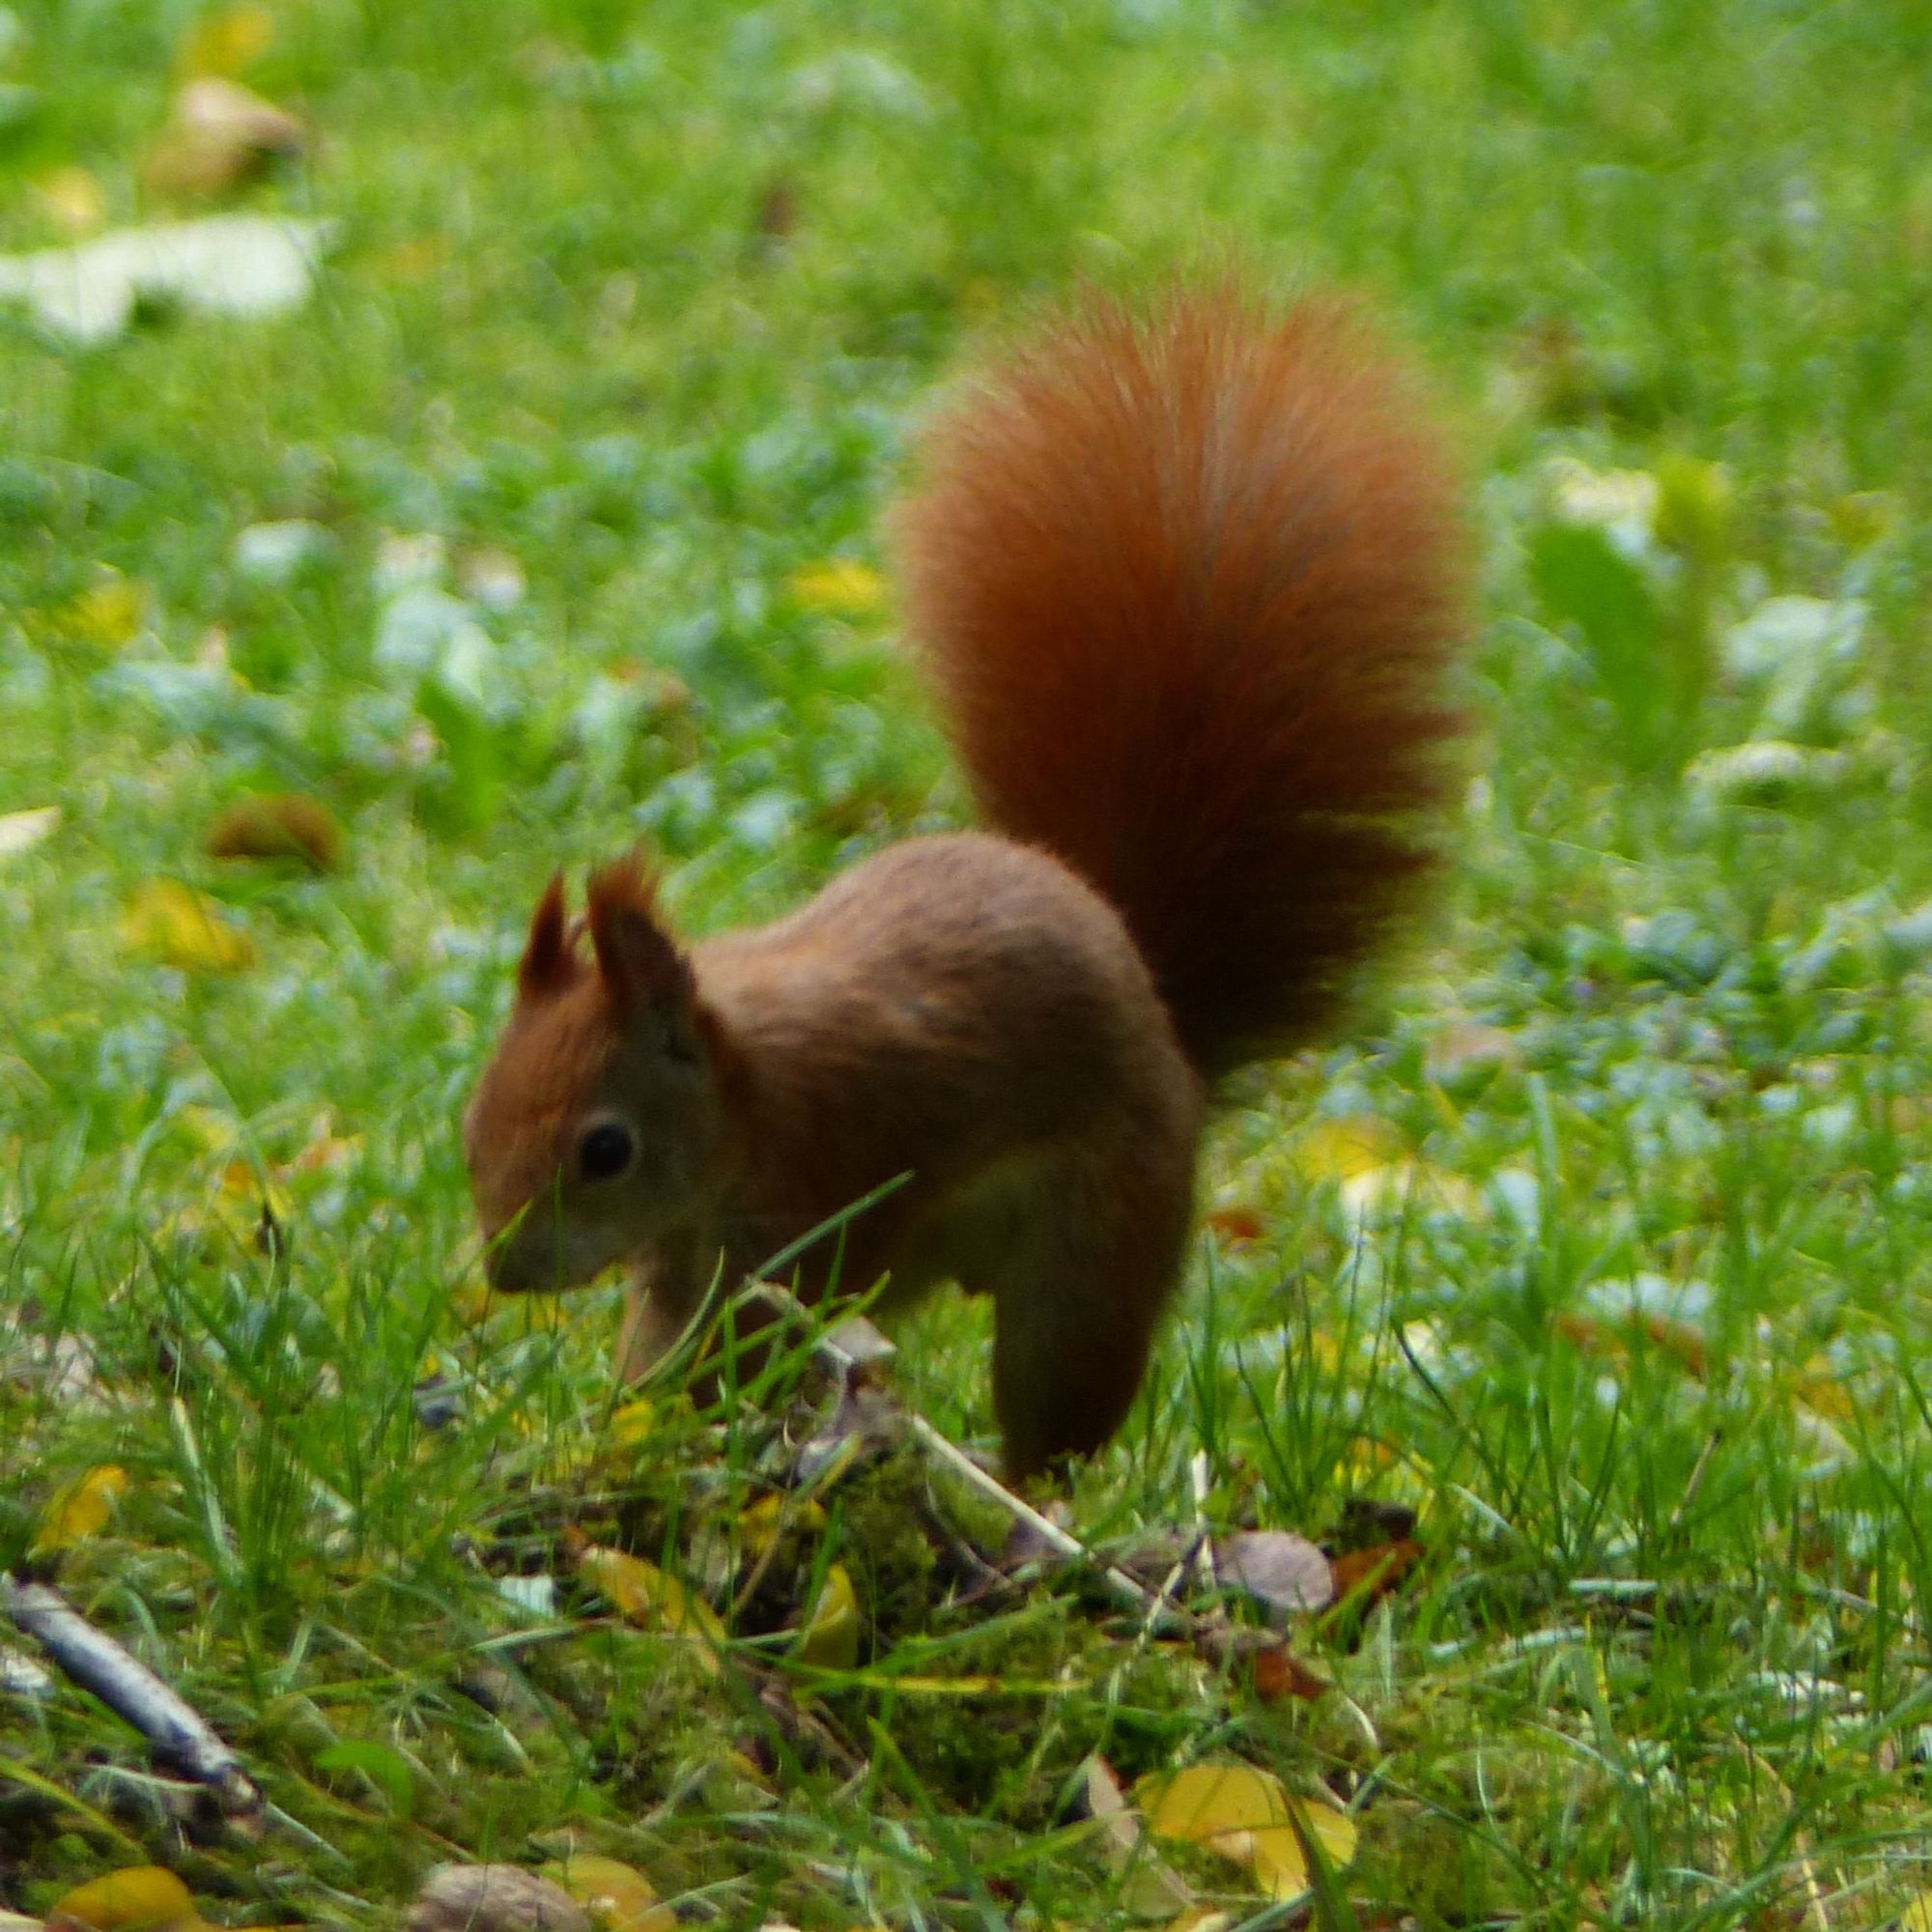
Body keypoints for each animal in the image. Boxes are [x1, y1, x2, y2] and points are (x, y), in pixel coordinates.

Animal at [464, 282, 1461, 1476]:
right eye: (475, 1115)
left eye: (605, 1149)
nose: (505, 1269)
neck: (745, 1089)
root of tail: (1161, 1009)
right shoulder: (690, 1253)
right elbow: (661, 1345)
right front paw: (617, 1436)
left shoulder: (824, 1191)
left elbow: (750, 1331)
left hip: (1089, 1254)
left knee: (1056, 1410)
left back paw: (1019, 1486)